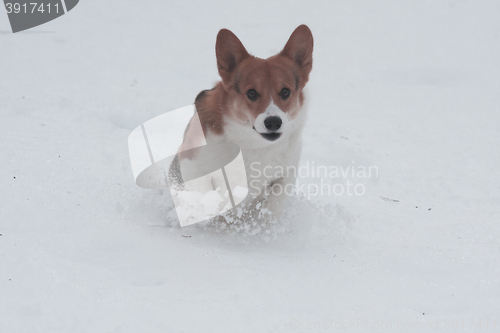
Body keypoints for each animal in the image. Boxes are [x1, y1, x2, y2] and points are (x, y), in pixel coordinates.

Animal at [170, 25, 314, 223]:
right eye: (251, 93)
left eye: (285, 92)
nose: (273, 122)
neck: (253, 144)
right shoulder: (192, 165)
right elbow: (206, 197)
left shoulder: (286, 174)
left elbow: (274, 205)